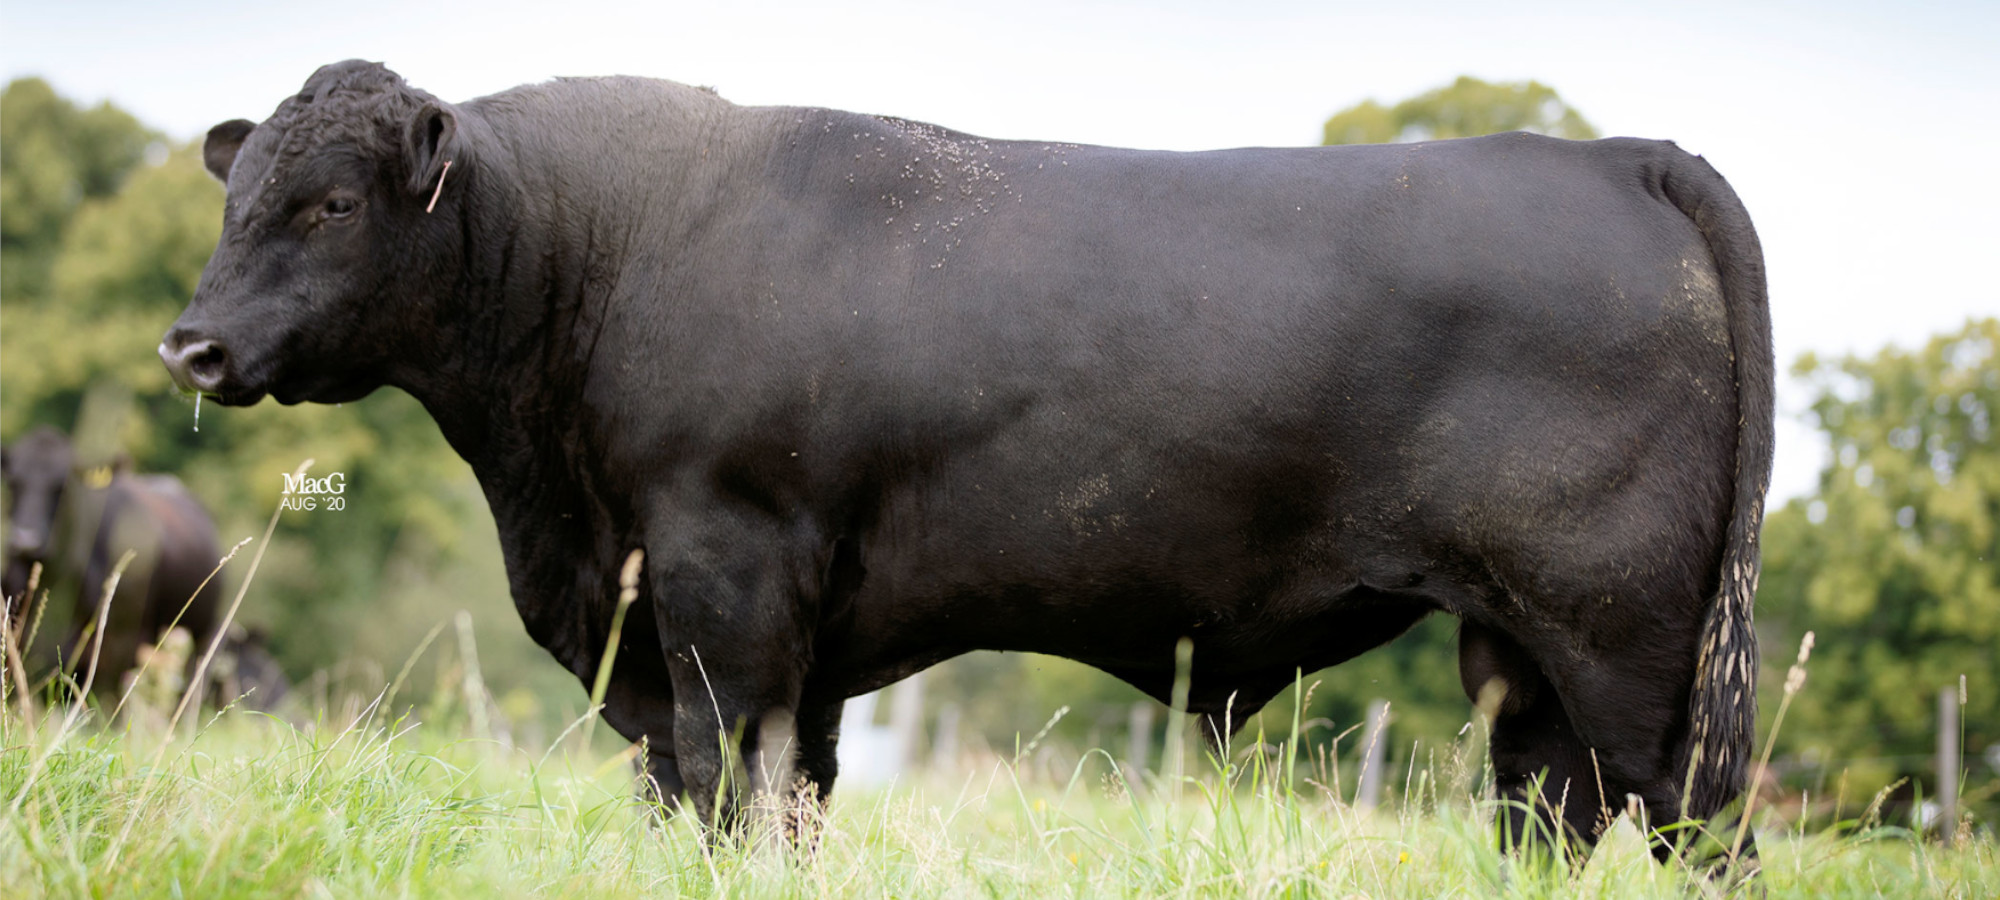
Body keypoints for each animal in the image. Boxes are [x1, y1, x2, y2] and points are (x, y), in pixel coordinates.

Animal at [161, 60, 1771, 867]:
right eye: (236, 195)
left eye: (330, 203)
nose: (190, 346)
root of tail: (1616, 152)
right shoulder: (767, 640)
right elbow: (760, 801)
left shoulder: (723, 578)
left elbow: (728, 786)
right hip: (1522, 665)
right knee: (1552, 820)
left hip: (1635, 650)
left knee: (1700, 834)